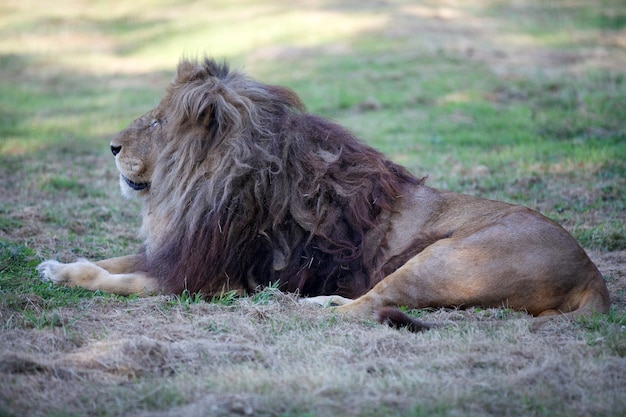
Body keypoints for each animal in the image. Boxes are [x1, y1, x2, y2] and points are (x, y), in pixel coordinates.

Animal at [36, 57, 608, 328]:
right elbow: (112, 259)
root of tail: (592, 272)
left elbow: (112, 278)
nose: (111, 147)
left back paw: (302, 308)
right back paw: (318, 299)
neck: (206, 187)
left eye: (156, 122)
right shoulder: (179, 252)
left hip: (445, 259)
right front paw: (56, 263)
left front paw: (66, 274)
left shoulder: (207, 280)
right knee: (370, 299)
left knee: (370, 307)